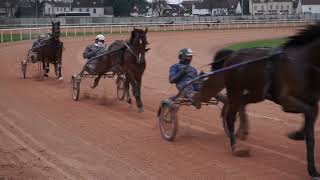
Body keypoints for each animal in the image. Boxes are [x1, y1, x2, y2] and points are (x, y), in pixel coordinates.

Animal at [192, 22, 320, 179]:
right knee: (230, 116)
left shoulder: (312, 100)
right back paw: (235, 146)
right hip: (235, 90)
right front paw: (312, 170)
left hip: (255, 93)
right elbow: (310, 127)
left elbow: (312, 115)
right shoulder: (286, 101)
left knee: (241, 104)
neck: (301, 63)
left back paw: (243, 131)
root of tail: (232, 54)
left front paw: (298, 134)